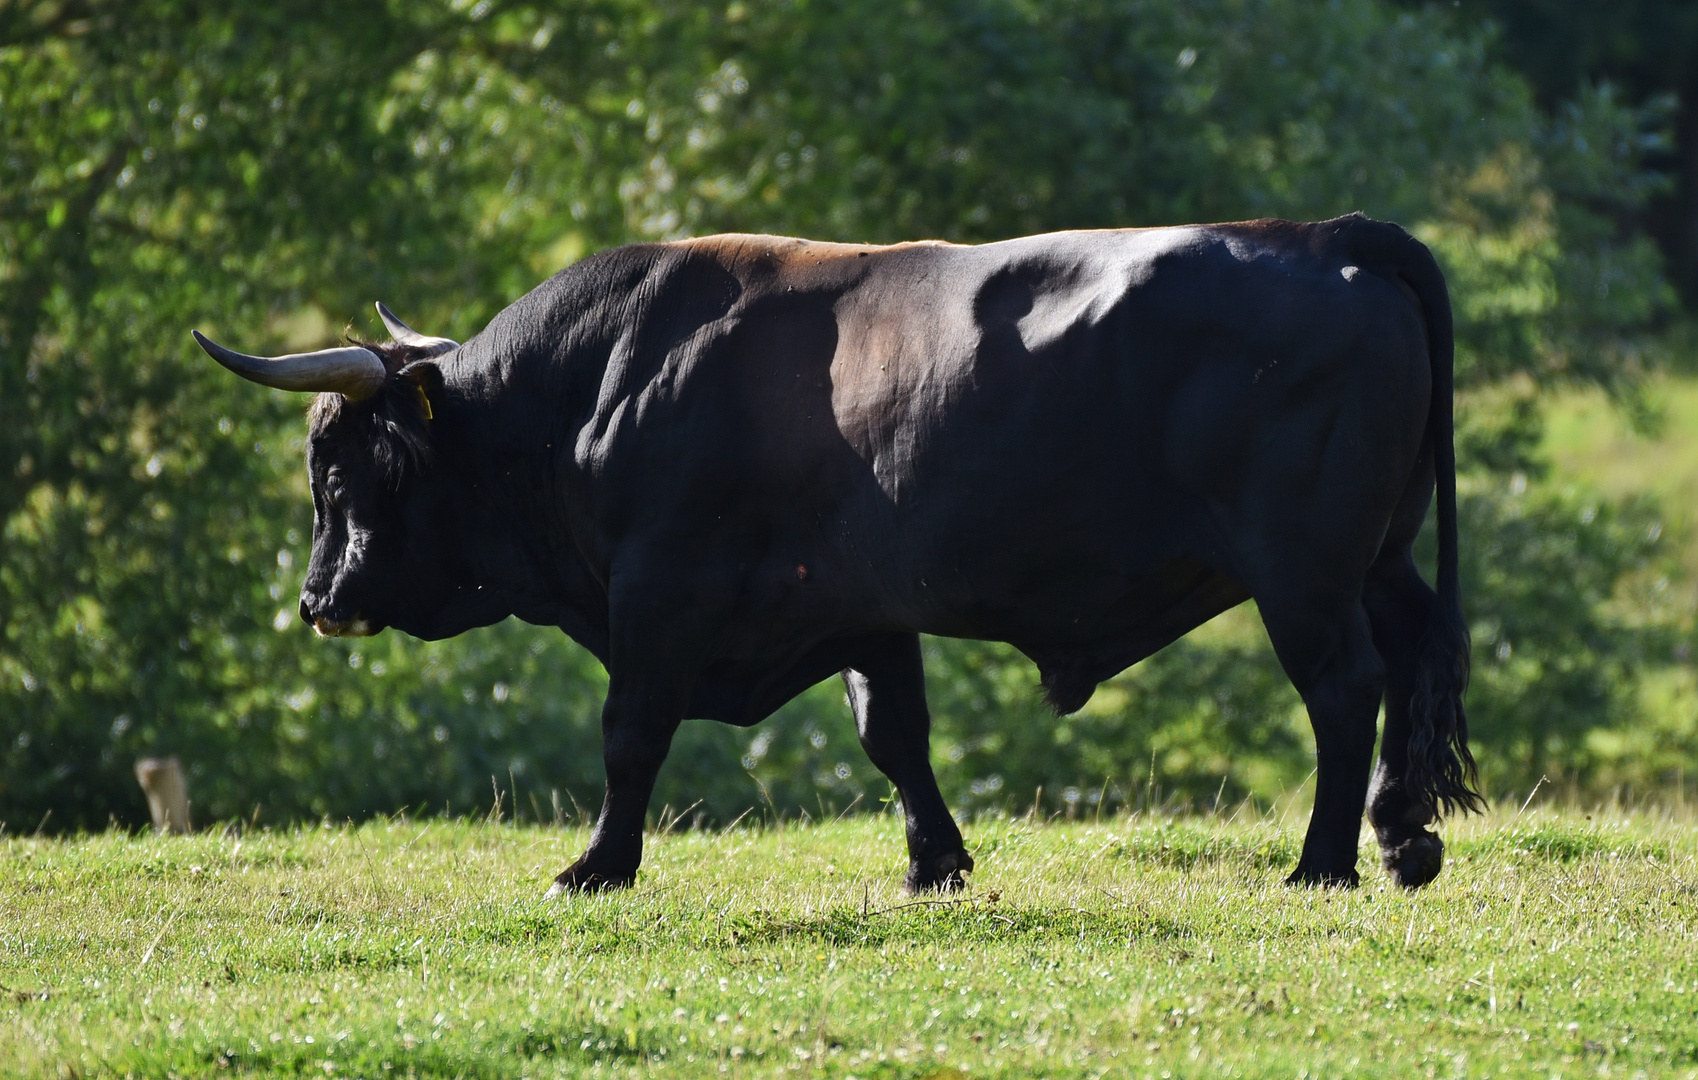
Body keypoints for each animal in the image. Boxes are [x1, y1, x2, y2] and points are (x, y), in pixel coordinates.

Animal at [195, 210, 1473, 896]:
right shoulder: (864, 607)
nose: (316, 600)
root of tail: (1326, 238)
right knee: (1414, 654)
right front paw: (935, 863)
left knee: (1344, 687)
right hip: (1378, 558)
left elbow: (629, 735)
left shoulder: (659, 595)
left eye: (341, 470)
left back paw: (1323, 859)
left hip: (1302, 572)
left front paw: (597, 865)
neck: (605, 384)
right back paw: (1405, 835)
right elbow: (893, 732)